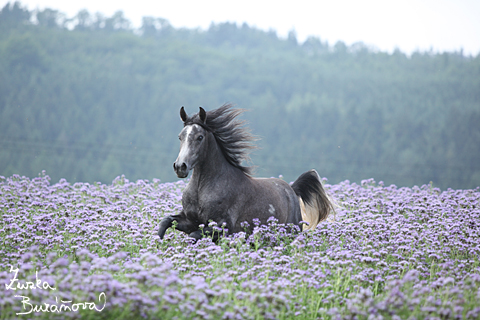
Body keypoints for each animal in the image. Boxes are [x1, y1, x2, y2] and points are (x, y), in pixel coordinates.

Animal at [158, 105, 334, 240]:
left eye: (200, 137)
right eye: (180, 137)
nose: (180, 166)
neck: (201, 188)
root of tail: (292, 189)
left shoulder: (222, 227)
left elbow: (193, 235)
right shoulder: (190, 221)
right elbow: (165, 221)